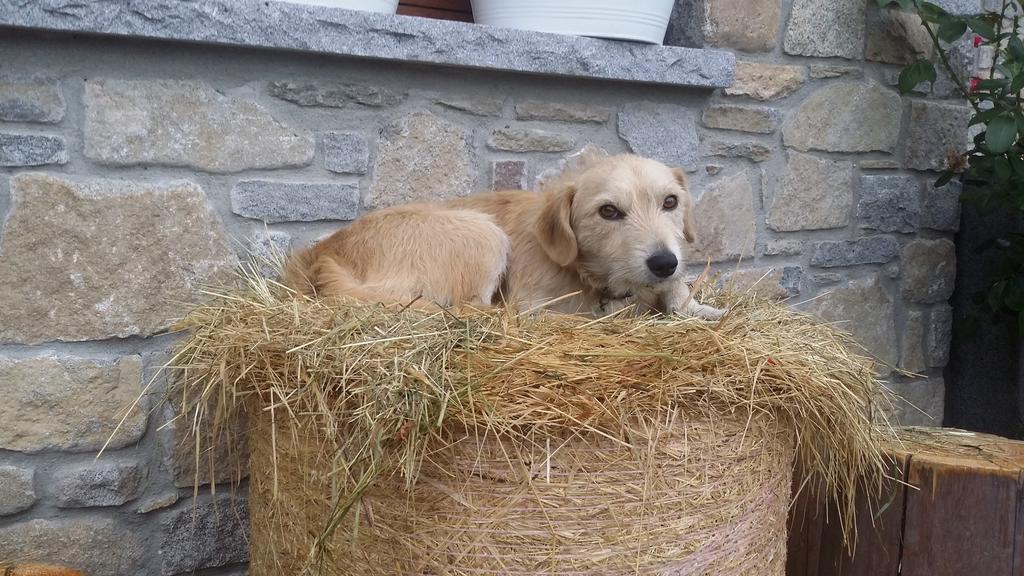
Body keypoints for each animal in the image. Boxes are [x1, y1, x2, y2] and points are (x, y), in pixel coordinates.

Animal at [284, 151, 724, 317]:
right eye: (609, 211)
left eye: (670, 202)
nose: (664, 262)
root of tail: (324, 253)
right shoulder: (535, 305)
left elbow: (679, 293)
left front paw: (703, 309)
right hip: (483, 234)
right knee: (471, 310)